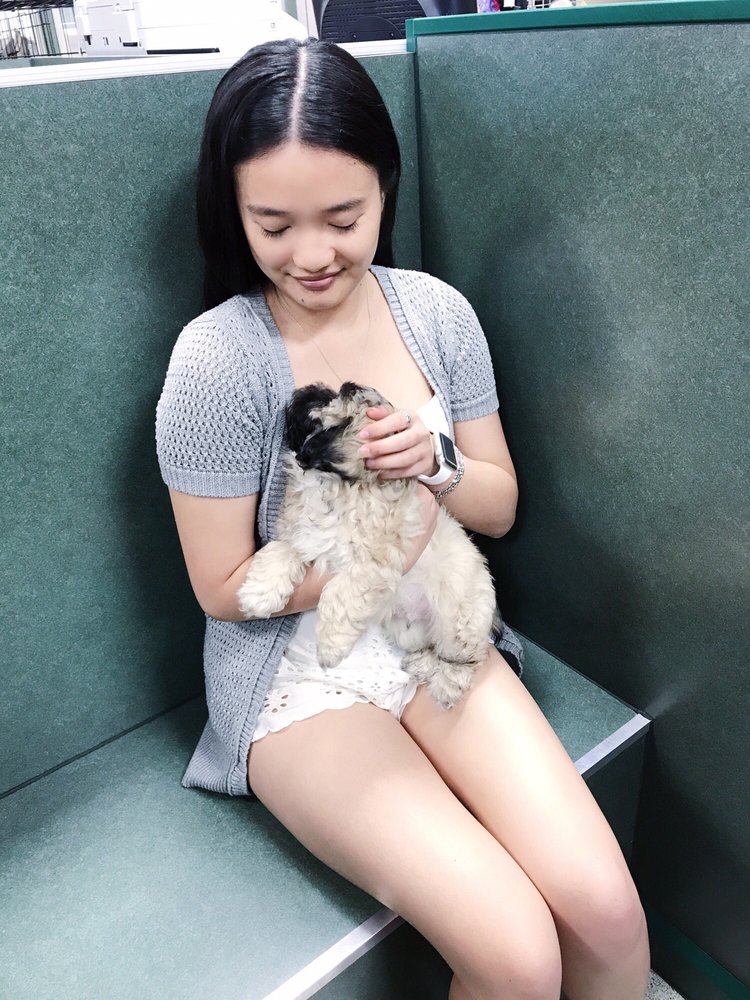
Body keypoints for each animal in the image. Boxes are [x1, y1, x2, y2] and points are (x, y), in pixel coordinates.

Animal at [237, 382, 500, 709]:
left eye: (330, 399)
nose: (311, 388)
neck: (333, 482)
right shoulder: (302, 538)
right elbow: (279, 551)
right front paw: (258, 595)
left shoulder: (372, 563)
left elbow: (339, 593)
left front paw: (330, 646)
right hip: (408, 630)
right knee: (429, 645)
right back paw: (421, 664)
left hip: (458, 621)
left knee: (469, 657)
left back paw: (447, 685)